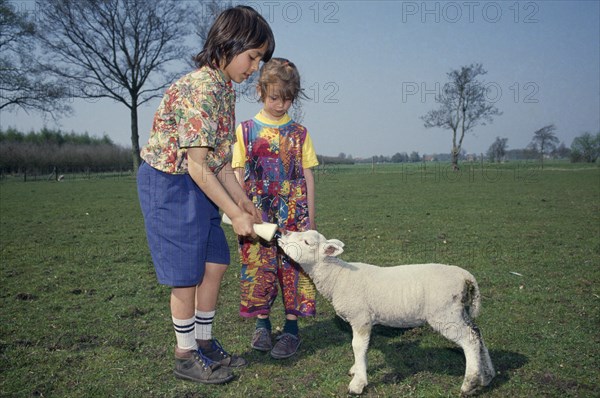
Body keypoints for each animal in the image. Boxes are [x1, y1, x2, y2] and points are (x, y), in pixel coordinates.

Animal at [278, 230, 494, 394]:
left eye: (306, 242)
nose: (284, 232)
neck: (337, 277)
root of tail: (465, 276)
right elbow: (362, 347)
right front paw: (357, 370)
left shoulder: (361, 318)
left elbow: (358, 346)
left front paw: (358, 384)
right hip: (459, 312)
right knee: (477, 333)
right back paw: (487, 376)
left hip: (445, 314)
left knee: (470, 340)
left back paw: (469, 383)